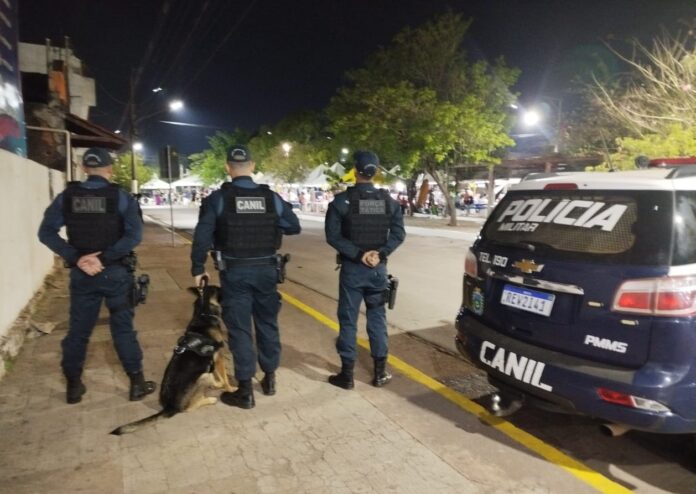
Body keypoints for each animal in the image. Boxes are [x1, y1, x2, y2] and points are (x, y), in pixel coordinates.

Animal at [110, 278, 235, 436]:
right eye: (219, 289)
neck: (203, 314)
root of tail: (169, 407)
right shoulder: (219, 358)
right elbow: (224, 378)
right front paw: (230, 388)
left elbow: (220, 376)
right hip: (202, 377)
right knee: (189, 407)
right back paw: (211, 398)